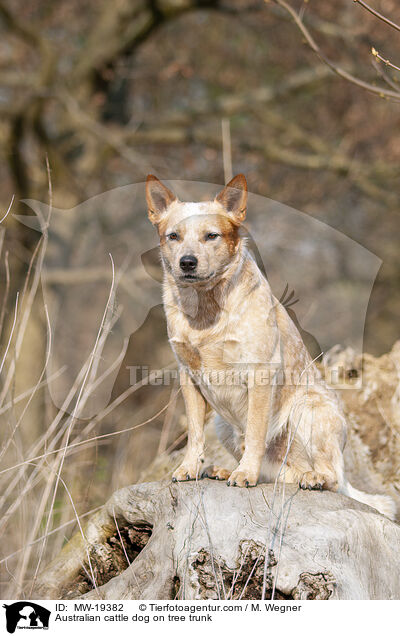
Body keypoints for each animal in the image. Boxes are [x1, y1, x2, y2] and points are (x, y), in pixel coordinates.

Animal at [145, 171, 396, 520]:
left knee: (330, 476)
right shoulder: (188, 376)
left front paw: (245, 475)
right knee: (278, 473)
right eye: (173, 236)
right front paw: (190, 468)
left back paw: (311, 478)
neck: (206, 309)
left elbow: (255, 432)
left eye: (211, 236)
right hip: (223, 424)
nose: (187, 262)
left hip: (308, 410)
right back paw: (230, 470)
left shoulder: (259, 374)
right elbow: (195, 433)